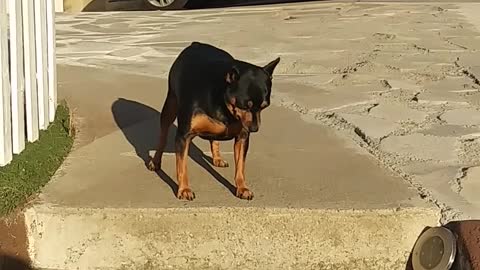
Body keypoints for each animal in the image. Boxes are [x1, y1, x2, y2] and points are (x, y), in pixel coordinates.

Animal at [148, 41, 280, 200]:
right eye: (244, 106)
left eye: (264, 106)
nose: (254, 128)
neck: (224, 104)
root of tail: (196, 44)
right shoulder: (183, 136)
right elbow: (182, 166)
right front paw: (184, 189)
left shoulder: (242, 137)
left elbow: (240, 166)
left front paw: (242, 188)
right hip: (170, 105)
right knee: (163, 135)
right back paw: (155, 162)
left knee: (214, 139)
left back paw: (217, 158)